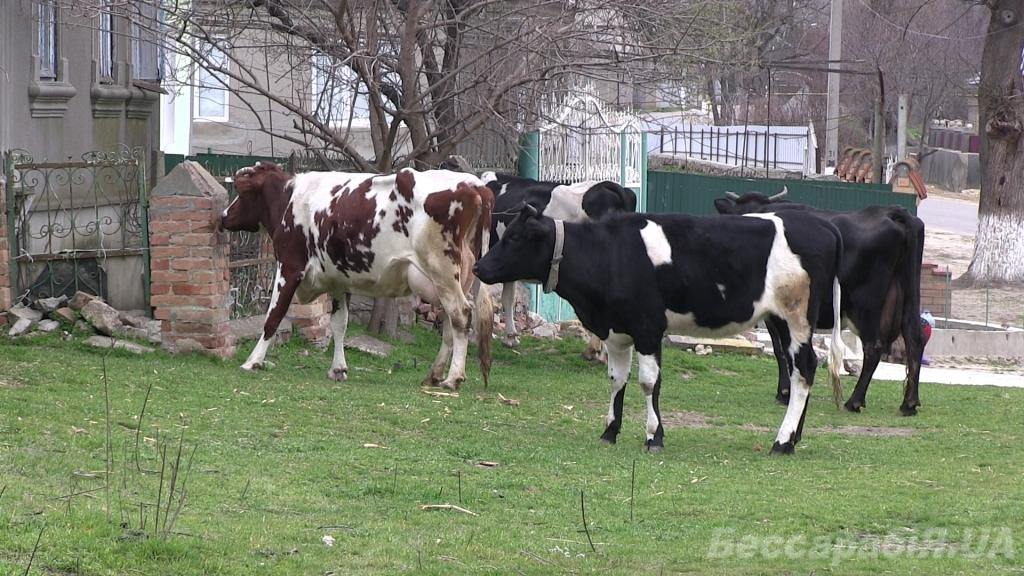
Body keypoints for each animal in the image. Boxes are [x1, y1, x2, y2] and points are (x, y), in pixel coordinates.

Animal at [220, 162, 495, 390]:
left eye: (242, 194)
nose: (223, 217)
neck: (290, 200)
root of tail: (475, 185)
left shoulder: (289, 267)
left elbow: (273, 317)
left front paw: (253, 361)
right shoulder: (338, 280)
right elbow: (339, 324)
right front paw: (338, 369)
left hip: (442, 269)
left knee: (461, 314)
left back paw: (453, 378)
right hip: (456, 279)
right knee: (451, 322)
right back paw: (434, 374)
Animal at [474, 205, 845, 454]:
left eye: (516, 238)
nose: (479, 267)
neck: (610, 254)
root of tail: (820, 223)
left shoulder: (648, 328)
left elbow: (648, 382)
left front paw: (654, 436)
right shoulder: (617, 332)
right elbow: (616, 380)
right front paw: (610, 430)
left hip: (796, 317)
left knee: (803, 369)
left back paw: (782, 441)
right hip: (781, 321)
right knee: (801, 369)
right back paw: (794, 437)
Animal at [714, 190, 926, 415]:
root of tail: (892, 212)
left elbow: (781, 350)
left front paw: (784, 392)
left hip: (865, 303)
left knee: (873, 346)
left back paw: (854, 401)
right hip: (908, 293)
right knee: (914, 338)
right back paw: (909, 403)